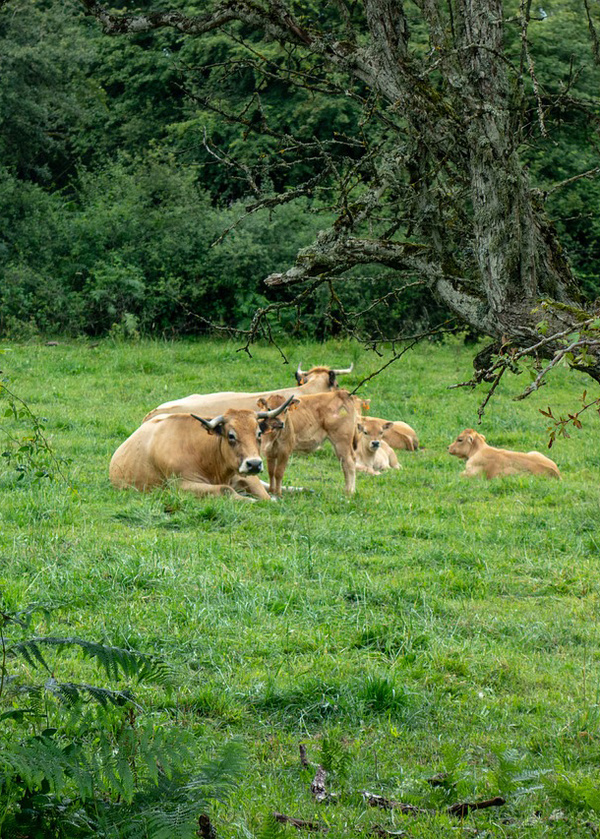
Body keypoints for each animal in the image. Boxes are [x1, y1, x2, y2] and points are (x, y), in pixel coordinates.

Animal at [109, 396, 296, 501]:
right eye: (231, 435)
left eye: (259, 433)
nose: (254, 464)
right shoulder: (181, 485)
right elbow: (226, 490)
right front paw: (250, 499)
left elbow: (264, 495)